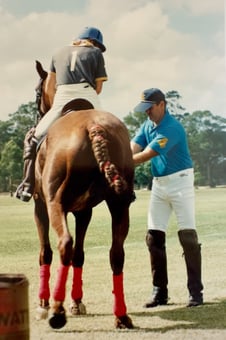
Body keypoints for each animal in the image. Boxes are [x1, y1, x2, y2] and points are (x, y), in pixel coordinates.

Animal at [31, 61, 134, 330]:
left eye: (37, 92)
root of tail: (93, 127)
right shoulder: (83, 210)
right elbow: (80, 254)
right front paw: (77, 302)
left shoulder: (40, 204)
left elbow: (46, 252)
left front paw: (43, 305)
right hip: (119, 202)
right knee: (116, 253)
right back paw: (121, 315)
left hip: (54, 202)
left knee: (64, 244)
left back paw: (56, 311)